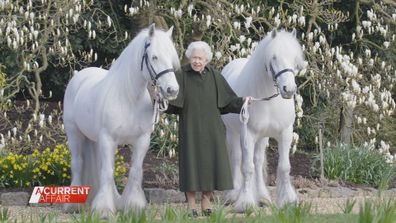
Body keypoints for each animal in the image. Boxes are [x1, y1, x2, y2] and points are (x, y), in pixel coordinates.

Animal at [62, 24, 180, 218]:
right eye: (154, 57)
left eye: (171, 58)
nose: (172, 90)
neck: (129, 98)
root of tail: (80, 75)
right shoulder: (108, 139)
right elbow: (107, 172)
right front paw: (103, 210)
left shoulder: (141, 140)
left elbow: (135, 171)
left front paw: (133, 206)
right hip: (74, 134)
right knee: (78, 164)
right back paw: (74, 205)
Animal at [223, 28, 306, 212]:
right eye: (274, 57)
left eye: (294, 58)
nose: (289, 89)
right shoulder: (247, 134)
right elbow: (247, 168)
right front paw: (245, 203)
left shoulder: (285, 133)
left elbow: (284, 167)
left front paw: (288, 200)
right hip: (233, 133)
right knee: (236, 159)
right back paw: (234, 195)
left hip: (262, 138)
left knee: (258, 159)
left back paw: (262, 197)